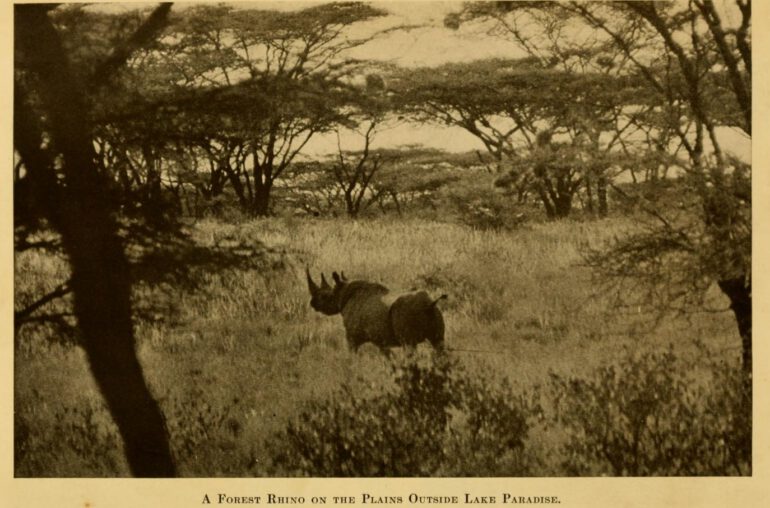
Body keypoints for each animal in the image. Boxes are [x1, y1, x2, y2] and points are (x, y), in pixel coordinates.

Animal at [306, 269, 447, 353]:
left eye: (325, 297)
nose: (312, 303)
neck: (342, 293)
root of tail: (429, 304)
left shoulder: (351, 337)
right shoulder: (380, 339)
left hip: (407, 316)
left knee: (410, 348)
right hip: (435, 315)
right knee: (438, 345)